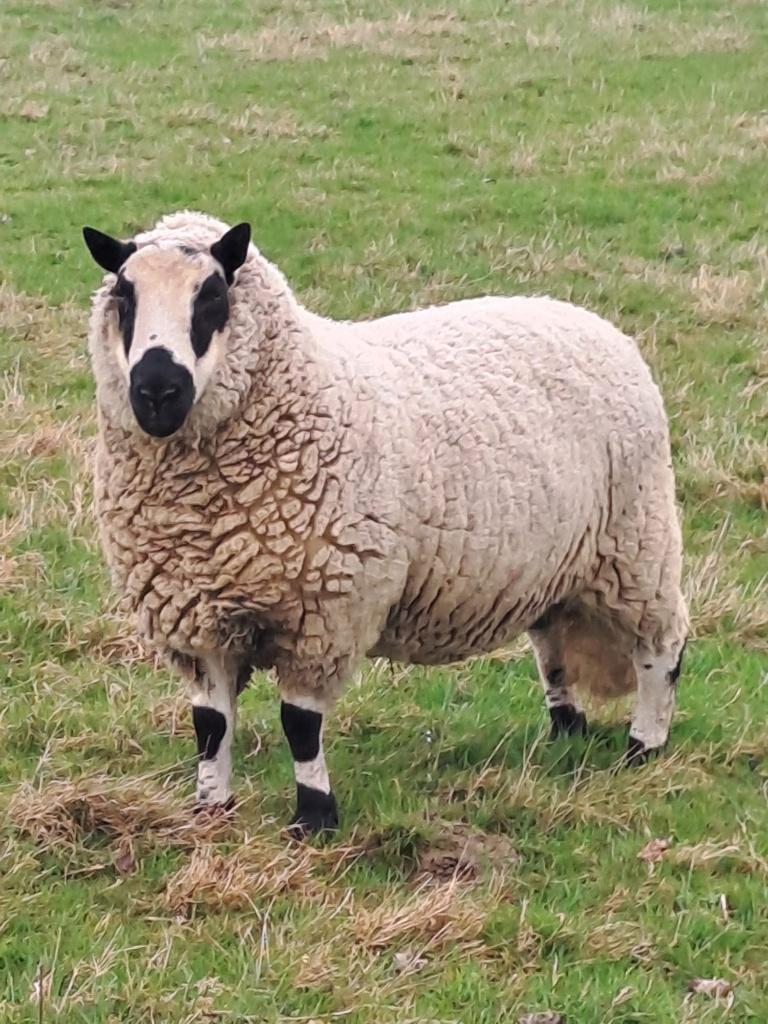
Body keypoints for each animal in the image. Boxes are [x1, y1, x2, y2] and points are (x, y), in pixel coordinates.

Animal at [82, 211, 688, 835]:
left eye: (212, 296)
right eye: (124, 296)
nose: (157, 391)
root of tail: (587, 319)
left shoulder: (324, 613)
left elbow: (299, 723)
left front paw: (314, 819)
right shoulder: (194, 616)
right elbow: (210, 725)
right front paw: (211, 809)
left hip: (637, 541)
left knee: (662, 646)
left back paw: (645, 744)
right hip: (552, 565)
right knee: (552, 651)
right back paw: (566, 732)